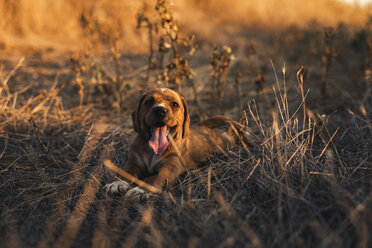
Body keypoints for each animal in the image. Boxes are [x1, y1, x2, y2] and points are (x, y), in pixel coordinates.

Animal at [104, 88, 253, 199]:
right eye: (149, 101)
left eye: (174, 104)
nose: (160, 110)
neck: (153, 151)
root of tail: (204, 127)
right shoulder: (134, 162)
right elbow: (125, 172)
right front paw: (117, 183)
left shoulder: (170, 169)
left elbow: (154, 179)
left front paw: (140, 190)